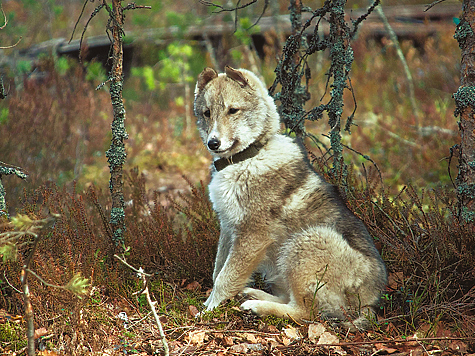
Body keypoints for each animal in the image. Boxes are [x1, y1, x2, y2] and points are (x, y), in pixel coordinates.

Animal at [195, 66, 388, 328]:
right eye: (206, 113)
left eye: (233, 110)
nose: (212, 143)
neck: (247, 158)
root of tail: (371, 303)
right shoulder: (228, 227)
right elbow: (219, 271)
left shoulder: (252, 234)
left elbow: (225, 277)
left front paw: (208, 311)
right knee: (289, 299)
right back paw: (254, 295)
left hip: (306, 241)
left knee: (304, 312)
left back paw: (257, 306)